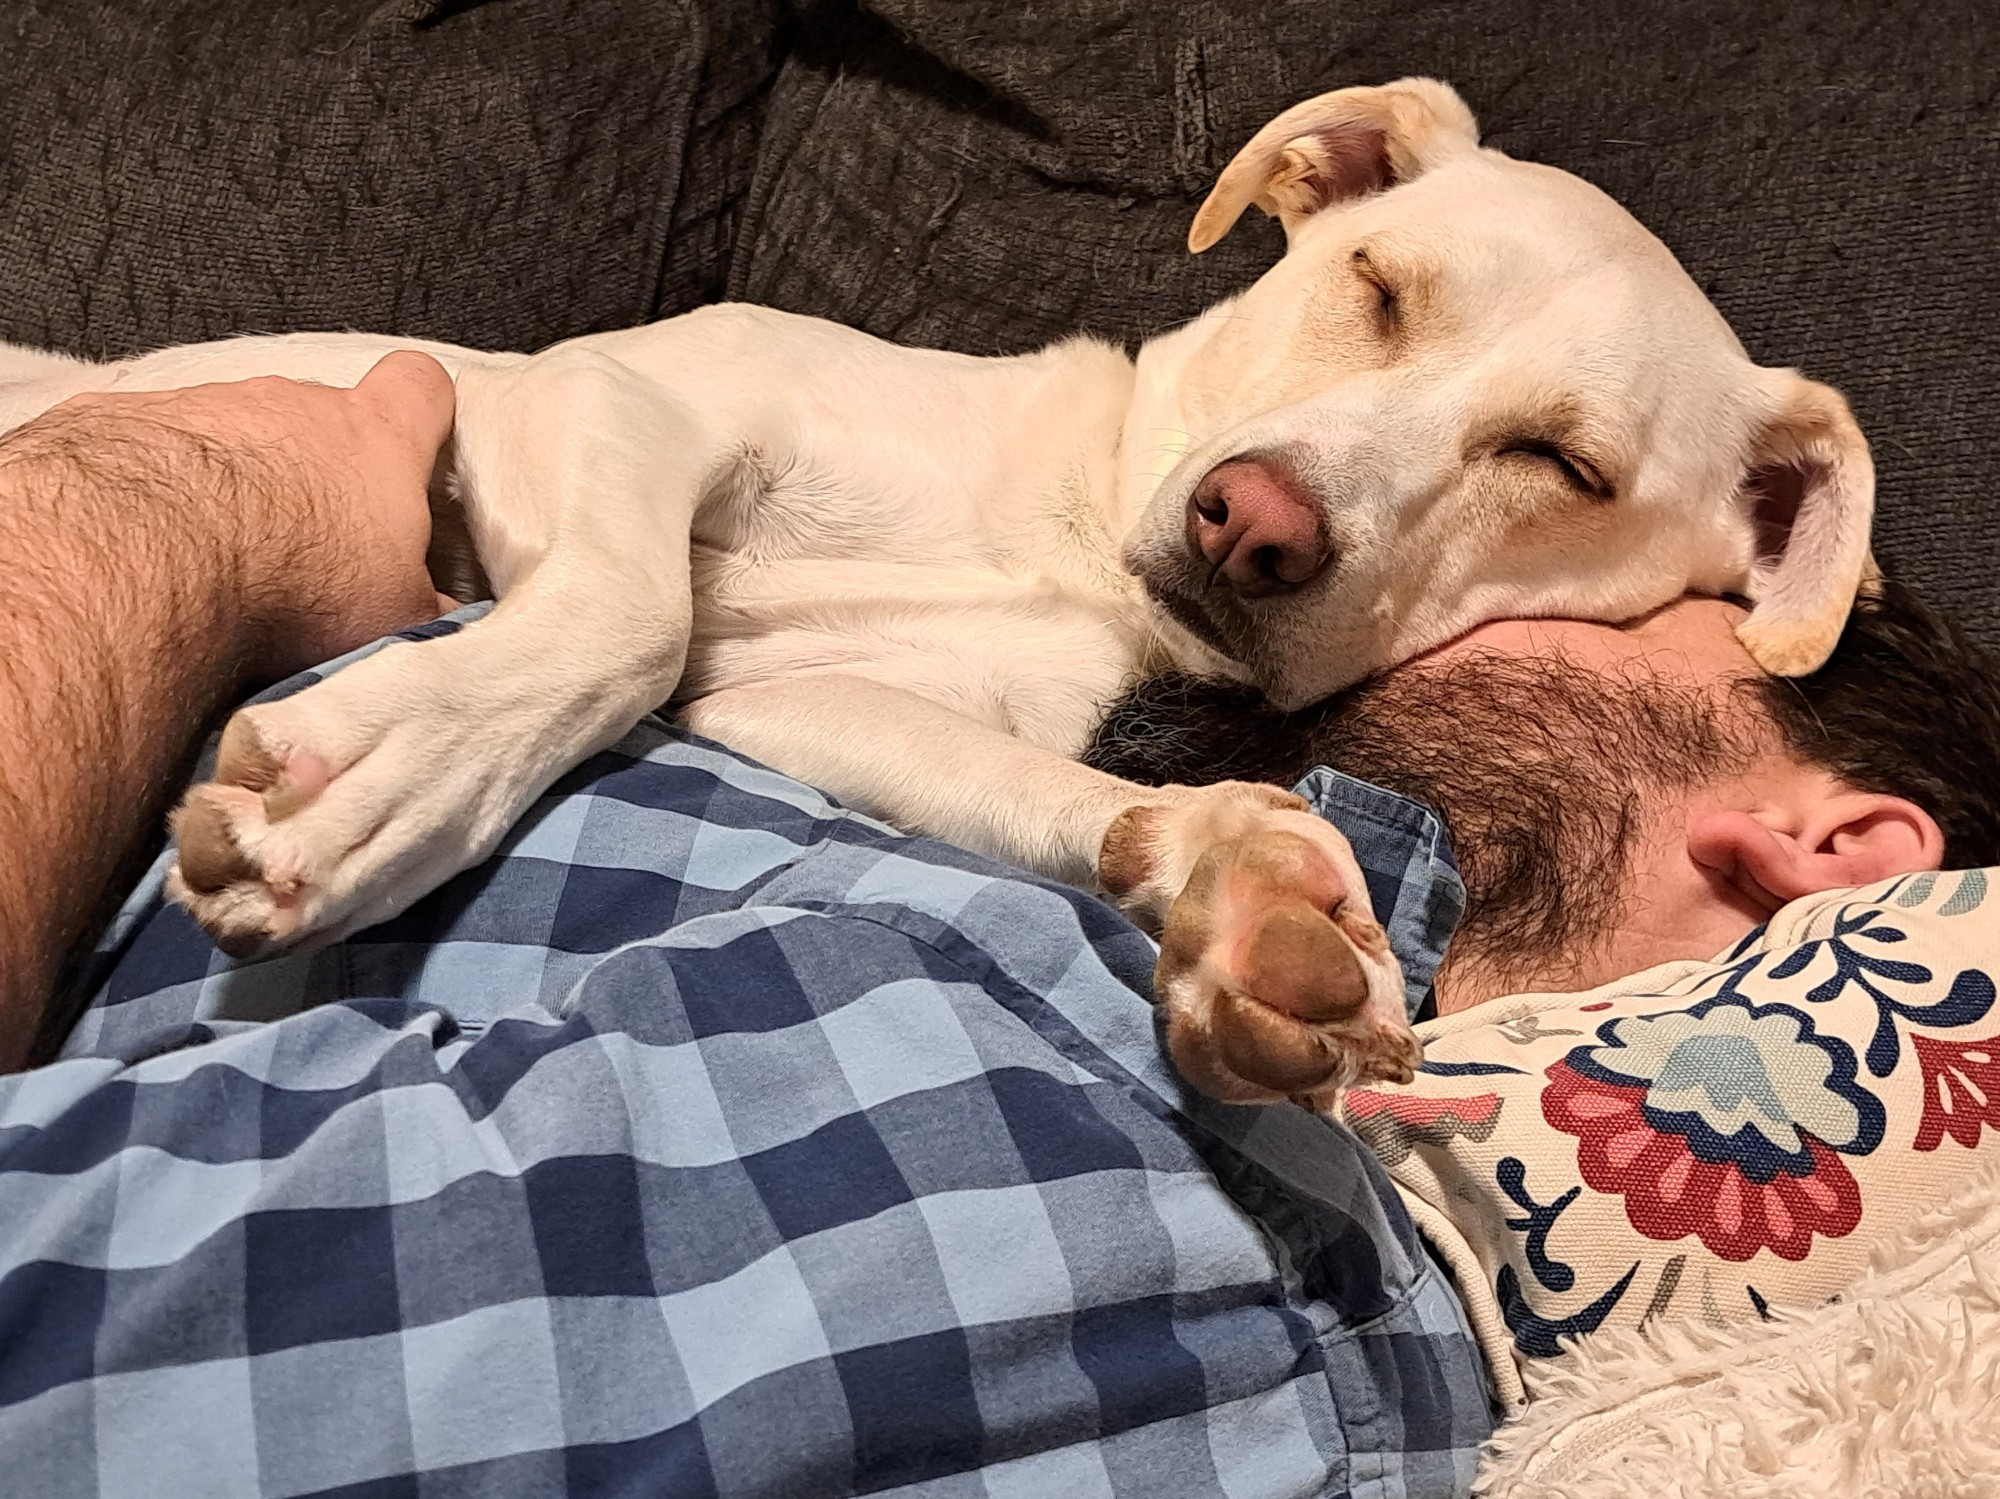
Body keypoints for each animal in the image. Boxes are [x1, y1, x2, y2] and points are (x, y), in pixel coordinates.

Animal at [0, 81, 1872, 1119]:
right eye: (1376, 283)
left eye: (1562, 463)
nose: (1251, 529)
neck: (1070, 530)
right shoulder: (603, 400)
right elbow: (625, 617)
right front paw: (388, 774)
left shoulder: (783, 704)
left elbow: (1050, 795)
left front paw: (1244, 876)